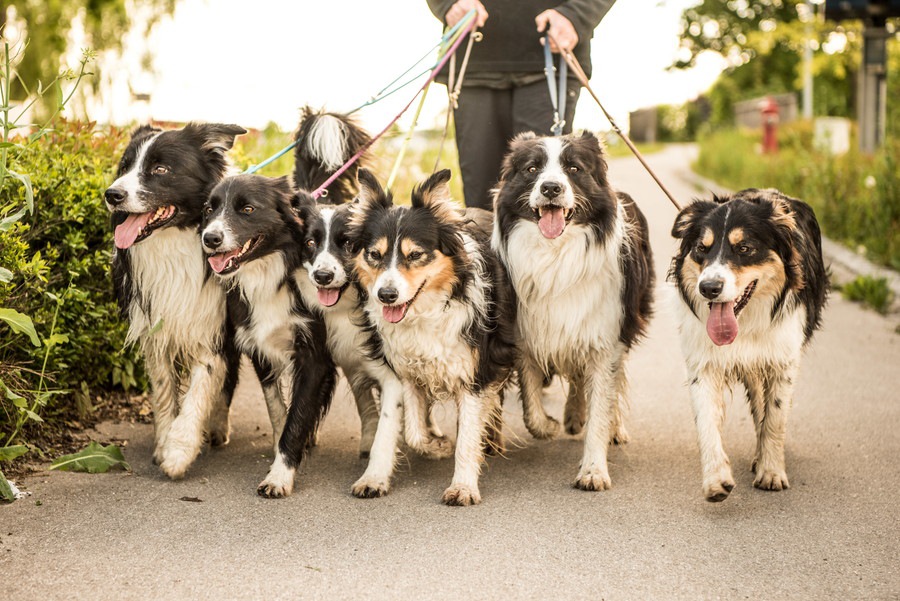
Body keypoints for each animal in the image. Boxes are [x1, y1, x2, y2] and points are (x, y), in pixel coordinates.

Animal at [104, 122, 246, 478]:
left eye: (160, 169)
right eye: (124, 166)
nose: (111, 195)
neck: (175, 242)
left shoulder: (212, 328)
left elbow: (200, 389)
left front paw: (179, 452)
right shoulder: (156, 331)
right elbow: (164, 391)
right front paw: (164, 442)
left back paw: (218, 427)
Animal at [348, 169, 516, 506]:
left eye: (415, 255)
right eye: (374, 255)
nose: (386, 295)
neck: (425, 312)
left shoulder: (476, 371)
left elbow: (467, 435)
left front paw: (463, 486)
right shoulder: (401, 370)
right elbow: (410, 430)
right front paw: (432, 446)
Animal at [492, 131, 652, 492]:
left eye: (574, 168)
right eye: (532, 168)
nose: (551, 188)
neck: (555, 255)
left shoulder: (606, 339)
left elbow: (601, 405)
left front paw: (593, 470)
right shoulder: (526, 334)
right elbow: (531, 404)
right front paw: (549, 426)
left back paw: (611, 427)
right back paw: (572, 416)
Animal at [668, 189, 828, 502]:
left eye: (744, 248)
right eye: (701, 249)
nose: (708, 288)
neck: (746, 323)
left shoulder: (782, 359)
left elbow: (775, 416)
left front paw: (772, 471)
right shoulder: (703, 363)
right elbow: (707, 421)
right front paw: (716, 479)